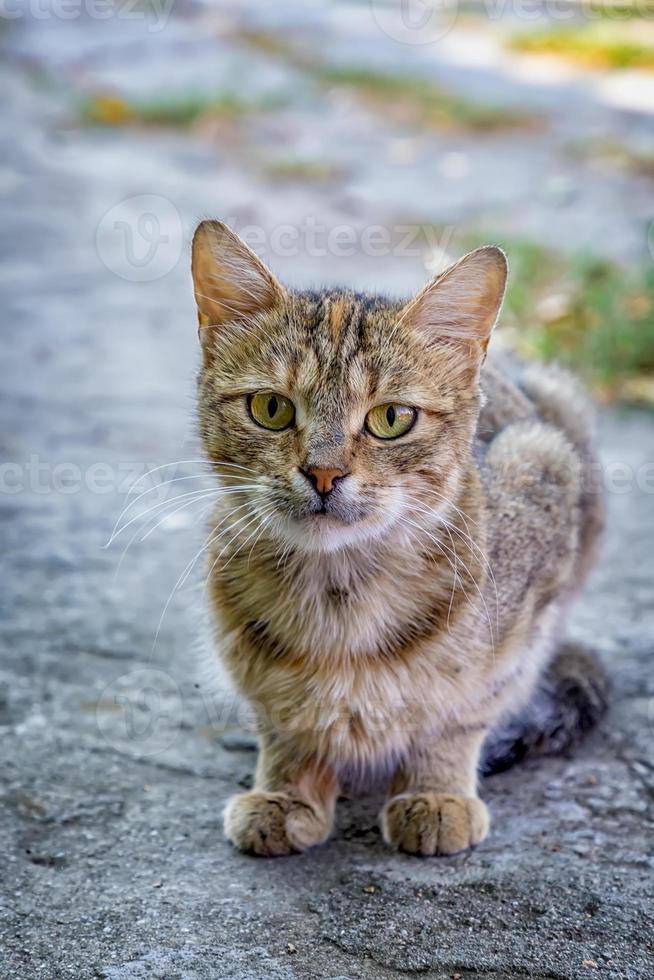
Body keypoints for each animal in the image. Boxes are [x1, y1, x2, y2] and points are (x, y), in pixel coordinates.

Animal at [190, 218, 608, 852]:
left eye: (391, 418)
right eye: (270, 408)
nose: (323, 472)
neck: (339, 595)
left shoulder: (532, 574)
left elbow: (457, 714)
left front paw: (435, 792)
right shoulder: (246, 653)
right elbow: (285, 721)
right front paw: (288, 790)